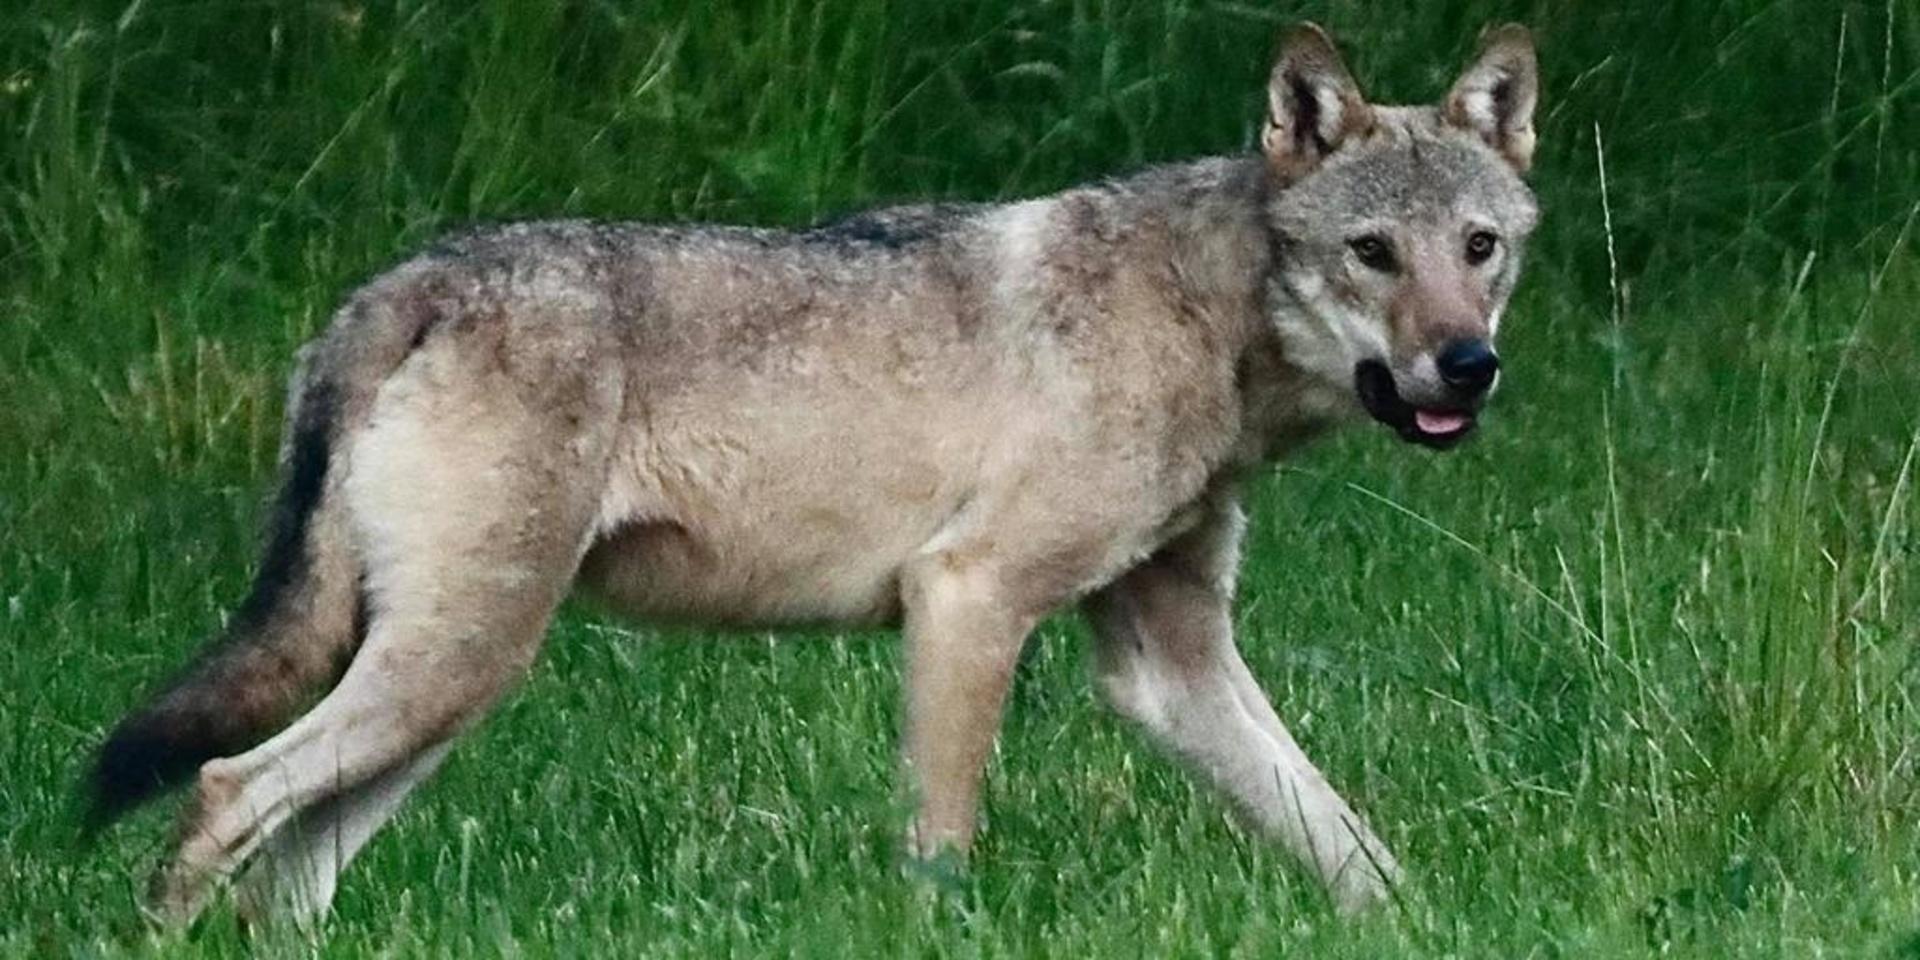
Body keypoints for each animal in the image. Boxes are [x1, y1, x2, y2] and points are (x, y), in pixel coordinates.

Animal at [86, 22, 1543, 921]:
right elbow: (941, 851)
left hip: (449, 687)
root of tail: (400, 285)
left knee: (287, 872)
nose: (1467, 366)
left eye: (1479, 247)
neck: (1207, 320)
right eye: (1371, 253)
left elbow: (1355, 849)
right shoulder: (967, 599)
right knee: (221, 795)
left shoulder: (1167, 663)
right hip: (449, 667)